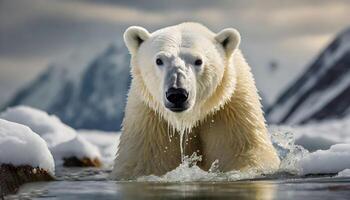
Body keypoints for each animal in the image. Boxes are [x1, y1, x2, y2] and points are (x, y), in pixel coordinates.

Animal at [110, 22, 280, 180]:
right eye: (159, 60)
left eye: (198, 61)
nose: (177, 94)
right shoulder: (151, 121)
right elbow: (145, 162)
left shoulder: (230, 113)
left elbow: (241, 154)